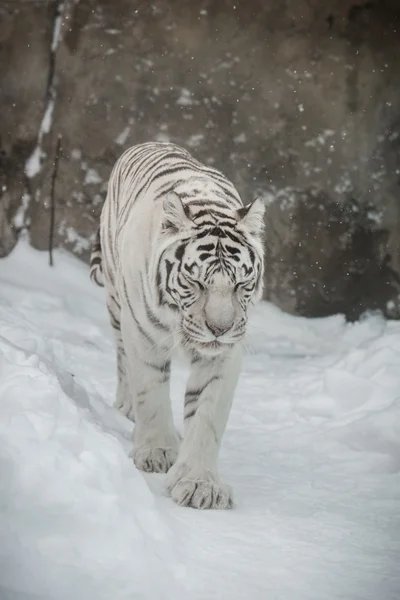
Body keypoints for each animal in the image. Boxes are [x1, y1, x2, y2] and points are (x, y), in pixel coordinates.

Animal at [90, 142, 266, 510]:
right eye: (195, 283)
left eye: (241, 284)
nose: (219, 329)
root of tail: (151, 142)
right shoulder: (143, 335)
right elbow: (152, 393)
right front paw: (157, 452)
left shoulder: (224, 355)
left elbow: (206, 415)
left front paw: (200, 483)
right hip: (116, 303)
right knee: (122, 361)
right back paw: (127, 409)